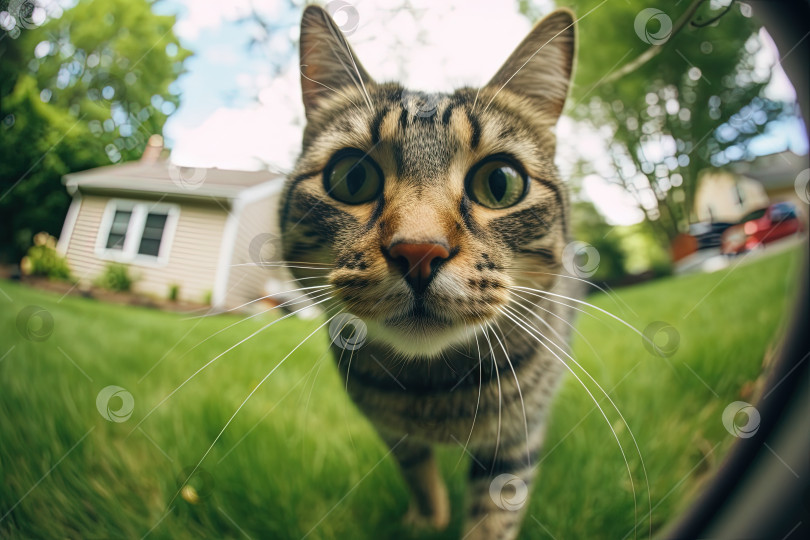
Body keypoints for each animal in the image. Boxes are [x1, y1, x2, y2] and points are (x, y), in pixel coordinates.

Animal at [280, 5, 576, 540]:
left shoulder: (514, 440)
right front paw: (426, 520)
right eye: (351, 177)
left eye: (500, 182)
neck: (429, 393)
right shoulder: (392, 432)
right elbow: (416, 471)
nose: (419, 251)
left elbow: (493, 517)